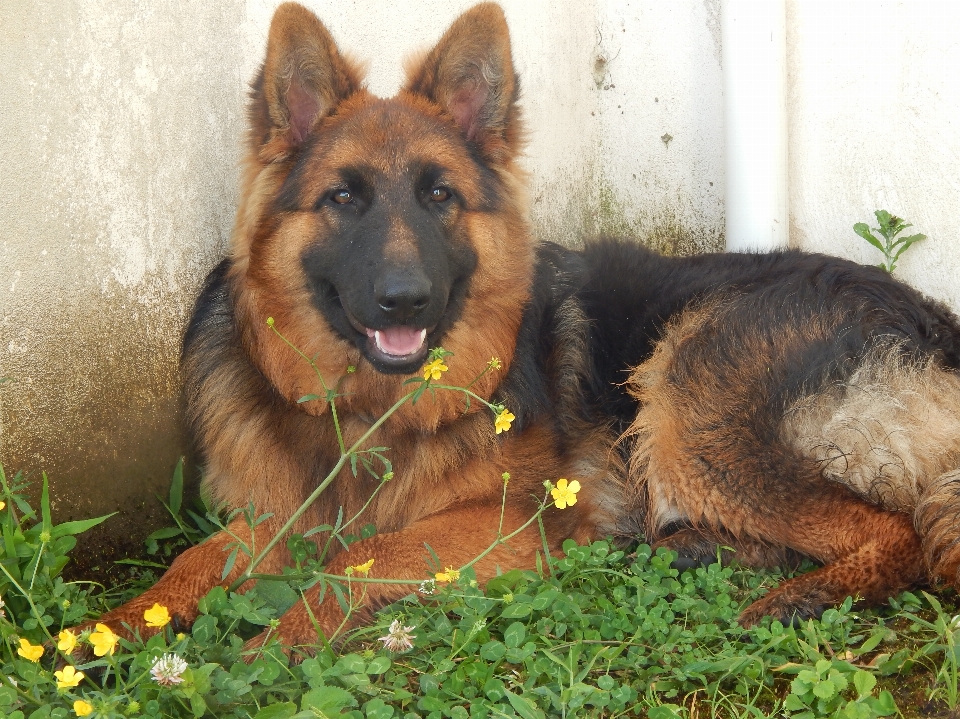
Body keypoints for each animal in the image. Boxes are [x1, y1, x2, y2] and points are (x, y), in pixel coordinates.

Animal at [90, 0, 960, 644]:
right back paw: (692, 549)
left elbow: (366, 552)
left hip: (688, 394)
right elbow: (188, 565)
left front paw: (282, 638)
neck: (370, 408)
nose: (405, 299)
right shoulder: (273, 517)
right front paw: (113, 633)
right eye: (343, 197)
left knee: (899, 533)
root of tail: (934, 329)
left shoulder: (505, 524)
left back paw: (798, 596)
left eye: (440, 195)